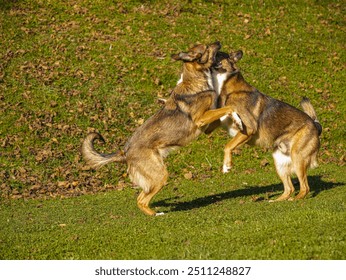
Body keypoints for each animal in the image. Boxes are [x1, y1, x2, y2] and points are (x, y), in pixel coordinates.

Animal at [82, 42, 232, 217]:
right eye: (207, 47)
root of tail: (124, 152)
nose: (218, 42)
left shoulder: (206, 125)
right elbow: (227, 108)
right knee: (141, 200)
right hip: (160, 175)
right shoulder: (201, 119)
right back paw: (156, 214)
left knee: (141, 196)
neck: (196, 79)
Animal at [212, 50, 324, 201]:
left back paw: (294, 199)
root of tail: (315, 125)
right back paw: (276, 201)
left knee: (304, 187)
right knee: (289, 188)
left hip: (297, 157)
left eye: (219, 54)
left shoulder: (249, 128)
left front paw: (227, 165)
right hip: (279, 162)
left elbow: (228, 146)